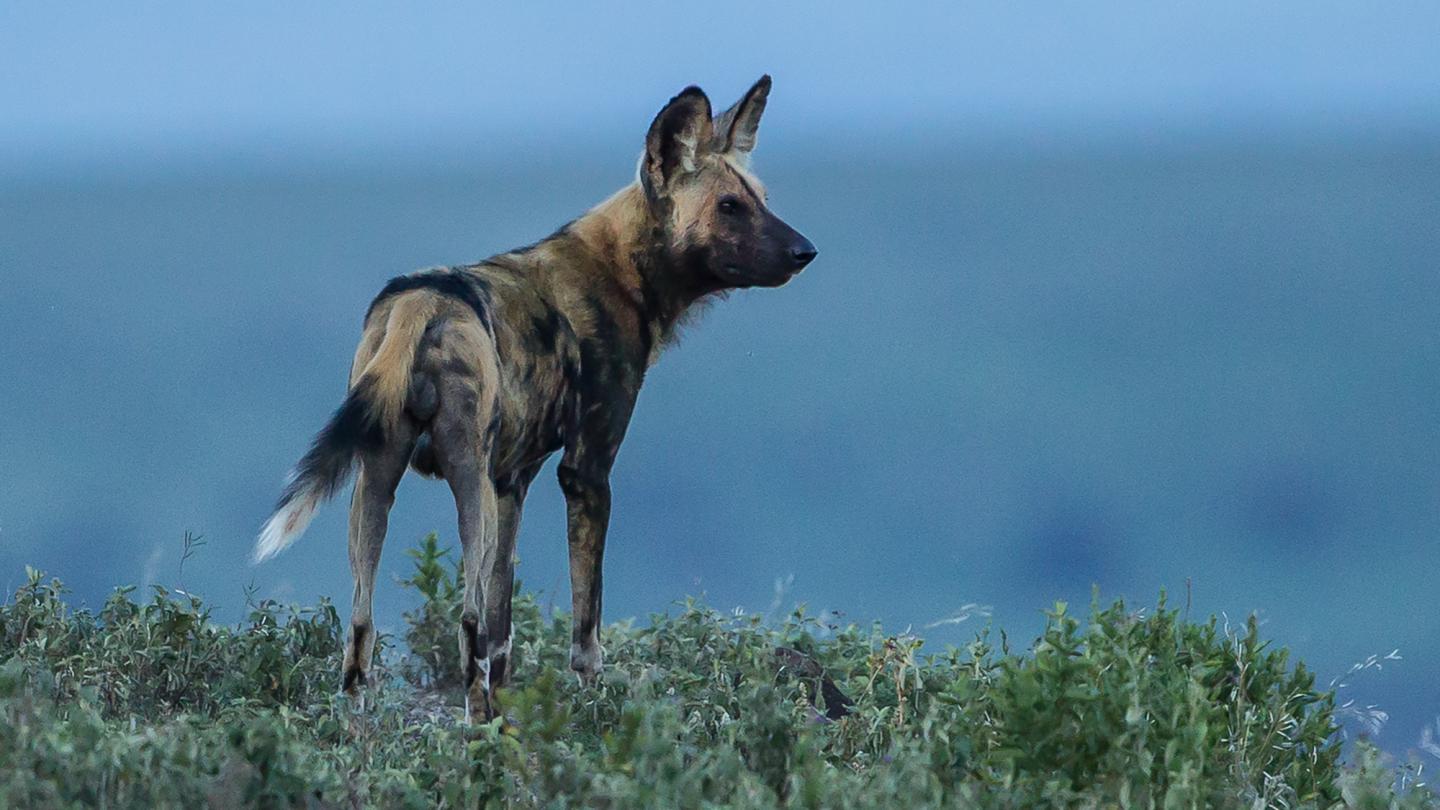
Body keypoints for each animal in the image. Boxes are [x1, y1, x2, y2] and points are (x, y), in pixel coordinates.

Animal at [254, 77, 817, 717]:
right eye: (728, 207)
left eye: (762, 198)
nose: (805, 251)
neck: (624, 270)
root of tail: (424, 301)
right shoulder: (586, 472)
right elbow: (584, 621)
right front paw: (593, 702)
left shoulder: (512, 483)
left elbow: (503, 631)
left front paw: (510, 709)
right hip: (467, 483)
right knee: (466, 619)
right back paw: (475, 719)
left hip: (378, 483)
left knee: (362, 626)